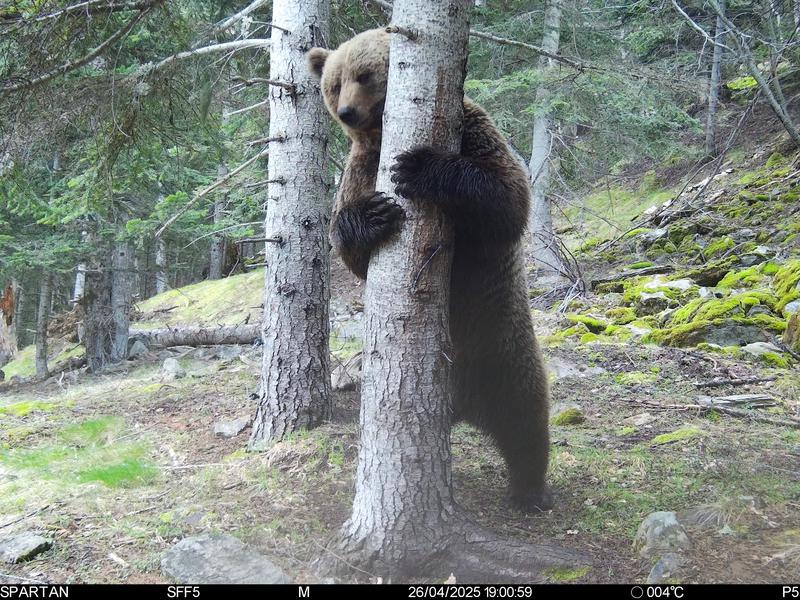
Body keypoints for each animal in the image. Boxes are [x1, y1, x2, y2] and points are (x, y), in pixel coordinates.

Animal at [308, 29, 552, 511]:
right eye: (334, 84)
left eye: (365, 75)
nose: (348, 111)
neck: (382, 138)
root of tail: (464, 404)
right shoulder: (362, 167)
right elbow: (352, 249)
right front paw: (373, 215)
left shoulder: (475, 133)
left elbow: (507, 198)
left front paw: (420, 167)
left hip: (501, 343)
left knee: (526, 418)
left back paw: (529, 490)